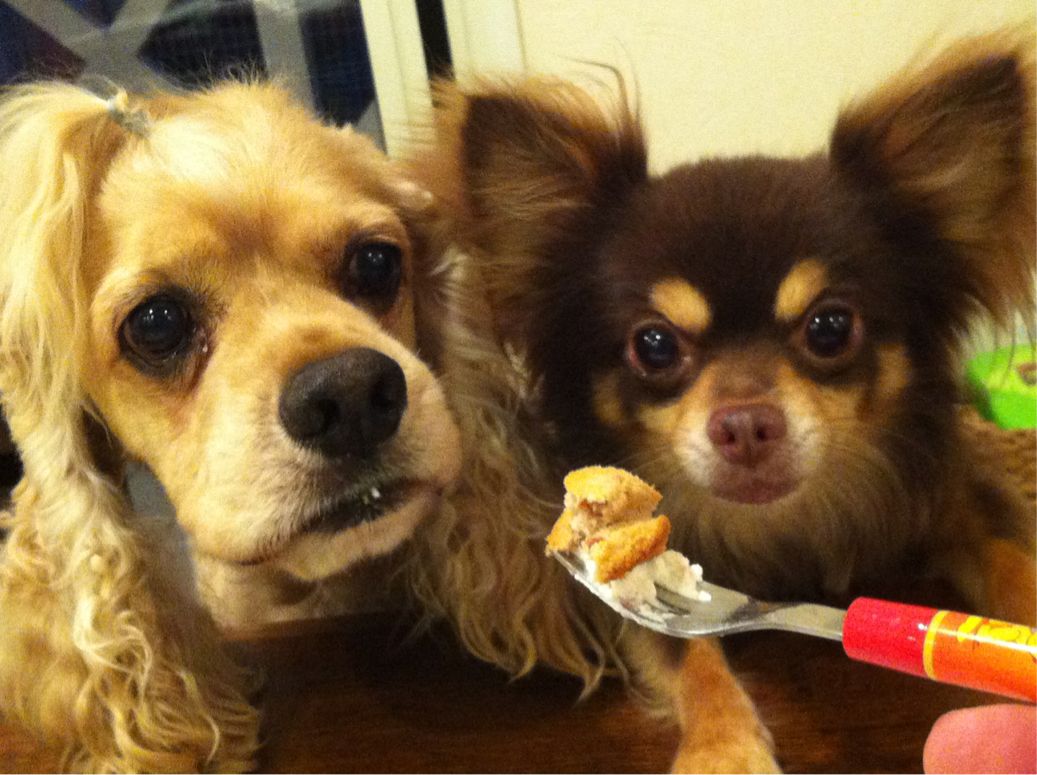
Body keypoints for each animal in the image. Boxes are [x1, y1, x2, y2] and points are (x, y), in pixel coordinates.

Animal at [414, 29, 1035, 771]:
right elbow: (691, 657)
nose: (744, 424)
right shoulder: (644, 589)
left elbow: (1013, 557)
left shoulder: (958, 495)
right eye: (653, 344)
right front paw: (723, 746)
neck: (782, 531)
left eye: (830, 327)